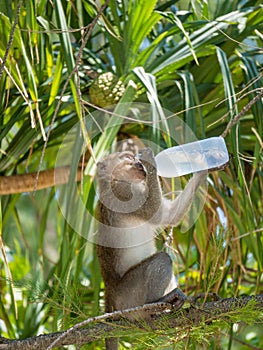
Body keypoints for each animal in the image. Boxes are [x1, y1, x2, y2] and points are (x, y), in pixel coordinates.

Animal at [96, 148, 209, 350]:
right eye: (128, 157)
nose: (138, 161)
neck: (114, 181)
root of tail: (110, 294)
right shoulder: (124, 193)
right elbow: (155, 211)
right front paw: (150, 160)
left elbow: (170, 215)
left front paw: (204, 165)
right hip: (128, 297)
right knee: (162, 259)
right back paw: (155, 304)